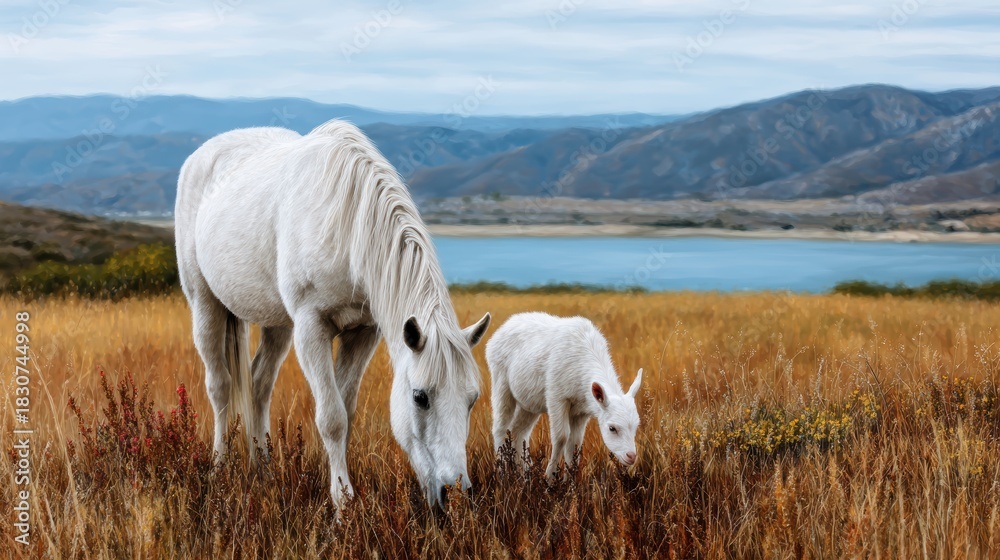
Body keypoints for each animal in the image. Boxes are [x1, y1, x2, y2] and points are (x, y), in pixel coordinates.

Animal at [174, 119, 491, 509]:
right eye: (420, 397)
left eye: (472, 398)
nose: (455, 491)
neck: (348, 224)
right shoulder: (312, 328)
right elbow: (332, 418)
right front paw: (343, 502)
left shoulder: (364, 332)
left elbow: (346, 410)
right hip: (205, 304)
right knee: (219, 386)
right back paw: (219, 470)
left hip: (277, 322)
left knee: (259, 385)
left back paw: (264, 471)